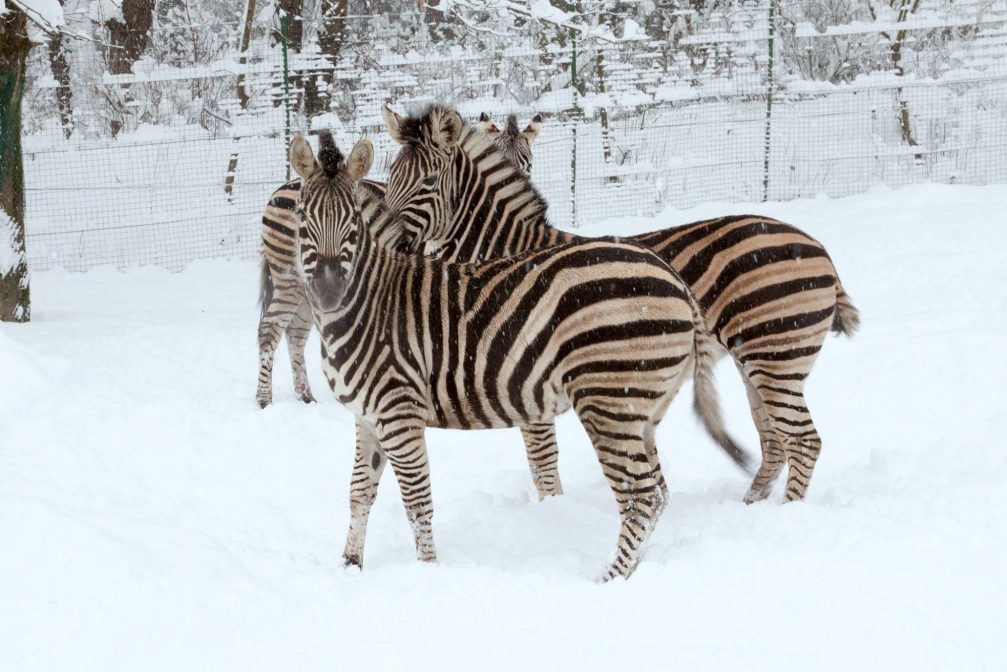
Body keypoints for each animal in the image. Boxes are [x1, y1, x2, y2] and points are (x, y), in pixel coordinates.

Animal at [288, 129, 716, 580]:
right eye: (301, 215)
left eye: (353, 219)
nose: (328, 290)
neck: (370, 303)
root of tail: (672, 277)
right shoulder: (368, 416)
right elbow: (359, 492)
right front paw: (350, 565)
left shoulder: (399, 411)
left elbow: (417, 502)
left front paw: (428, 572)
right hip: (642, 411)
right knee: (658, 494)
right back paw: (631, 572)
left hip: (609, 401)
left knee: (641, 497)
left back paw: (607, 580)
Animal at [380, 103, 861, 503]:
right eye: (389, 179)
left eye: (426, 183)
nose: (386, 241)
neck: (506, 250)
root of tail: (818, 249)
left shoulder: (526, 375)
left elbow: (543, 463)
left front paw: (553, 514)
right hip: (761, 360)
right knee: (776, 441)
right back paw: (750, 506)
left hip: (776, 355)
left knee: (803, 441)